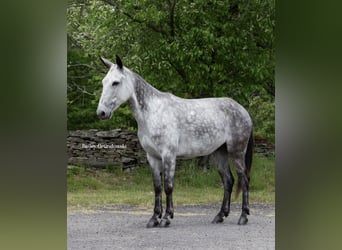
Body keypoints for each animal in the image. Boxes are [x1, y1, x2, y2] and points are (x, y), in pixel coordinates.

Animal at [97, 55, 254, 228]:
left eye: (115, 82)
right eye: (104, 82)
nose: (101, 113)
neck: (152, 113)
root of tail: (242, 110)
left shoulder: (169, 155)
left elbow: (168, 186)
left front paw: (166, 218)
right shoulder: (152, 157)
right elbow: (157, 187)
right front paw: (154, 218)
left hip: (236, 152)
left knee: (244, 180)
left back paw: (243, 217)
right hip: (220, 153)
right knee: (228, 181)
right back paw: (220, 216)